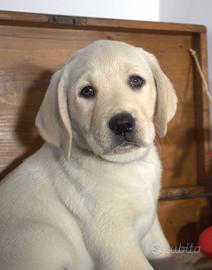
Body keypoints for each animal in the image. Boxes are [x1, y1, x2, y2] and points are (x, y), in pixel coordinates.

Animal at [0, 40, 177, 270]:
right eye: (87, 91)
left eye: (136, 81)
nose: (122, 123)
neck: (127, 166)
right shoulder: (115, 242)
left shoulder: (152, 223)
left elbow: (163, 249)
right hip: (46, 237)